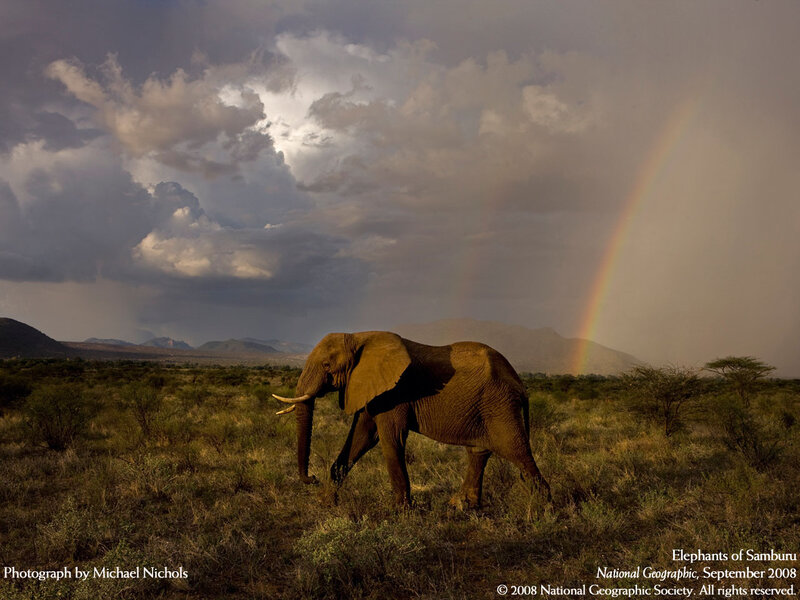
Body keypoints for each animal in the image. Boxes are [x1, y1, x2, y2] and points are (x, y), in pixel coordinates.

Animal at [273, 331, 551, 508]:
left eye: (327, 366)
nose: (312, 478)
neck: (358, 336)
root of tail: (520, 383)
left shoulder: (395, 392)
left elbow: (389, 439)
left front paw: (399, 512)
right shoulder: (372, 389)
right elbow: (361, 437)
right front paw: (325, 502)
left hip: (499, 404)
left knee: (516, 451)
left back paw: (544, 511)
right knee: (478, 452)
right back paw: (461, 507)